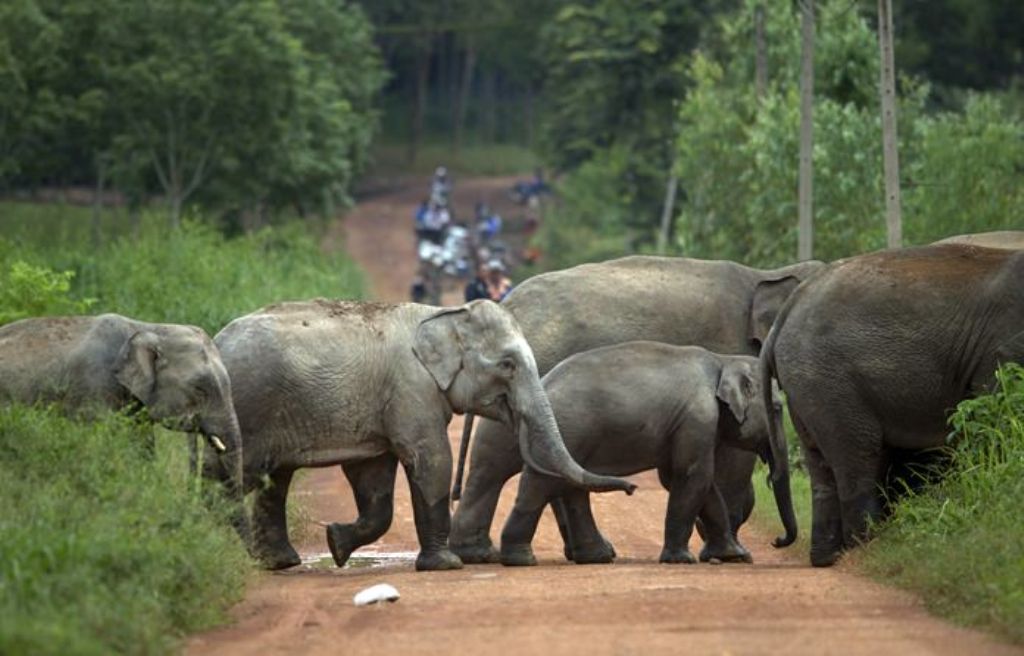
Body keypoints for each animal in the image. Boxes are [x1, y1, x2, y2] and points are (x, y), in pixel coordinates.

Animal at [208, 298, 634, 569]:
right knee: (234, 476)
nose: (632, 489)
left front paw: (336, 543)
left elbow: (374, 478)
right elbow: (431, 458)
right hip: (250, 406)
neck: (442, 316)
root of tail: (216, 342)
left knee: (272, 480)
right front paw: (446, 565)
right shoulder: (411, 388)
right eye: (508, 364)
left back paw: (279, 562)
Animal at [499, 343, 794, 569]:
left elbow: (693, 480)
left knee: (565, 485)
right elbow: (692, 475)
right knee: (542, 485)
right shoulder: (697, 418)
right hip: (570, 427)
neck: (723, 359)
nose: (777, 541)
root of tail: (542, 383)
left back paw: (594, 557)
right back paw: (522, 560)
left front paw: (736, 556)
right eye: (777, 409)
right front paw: (681, 560)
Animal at [761, 243, 1024, 564]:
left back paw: (827, 557)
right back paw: (867, 549)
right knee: (858, 457)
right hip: (829, 381)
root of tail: (785, 315)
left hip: (807, 385)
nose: (775, 541)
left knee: (821, 466)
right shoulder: (1005, 349)